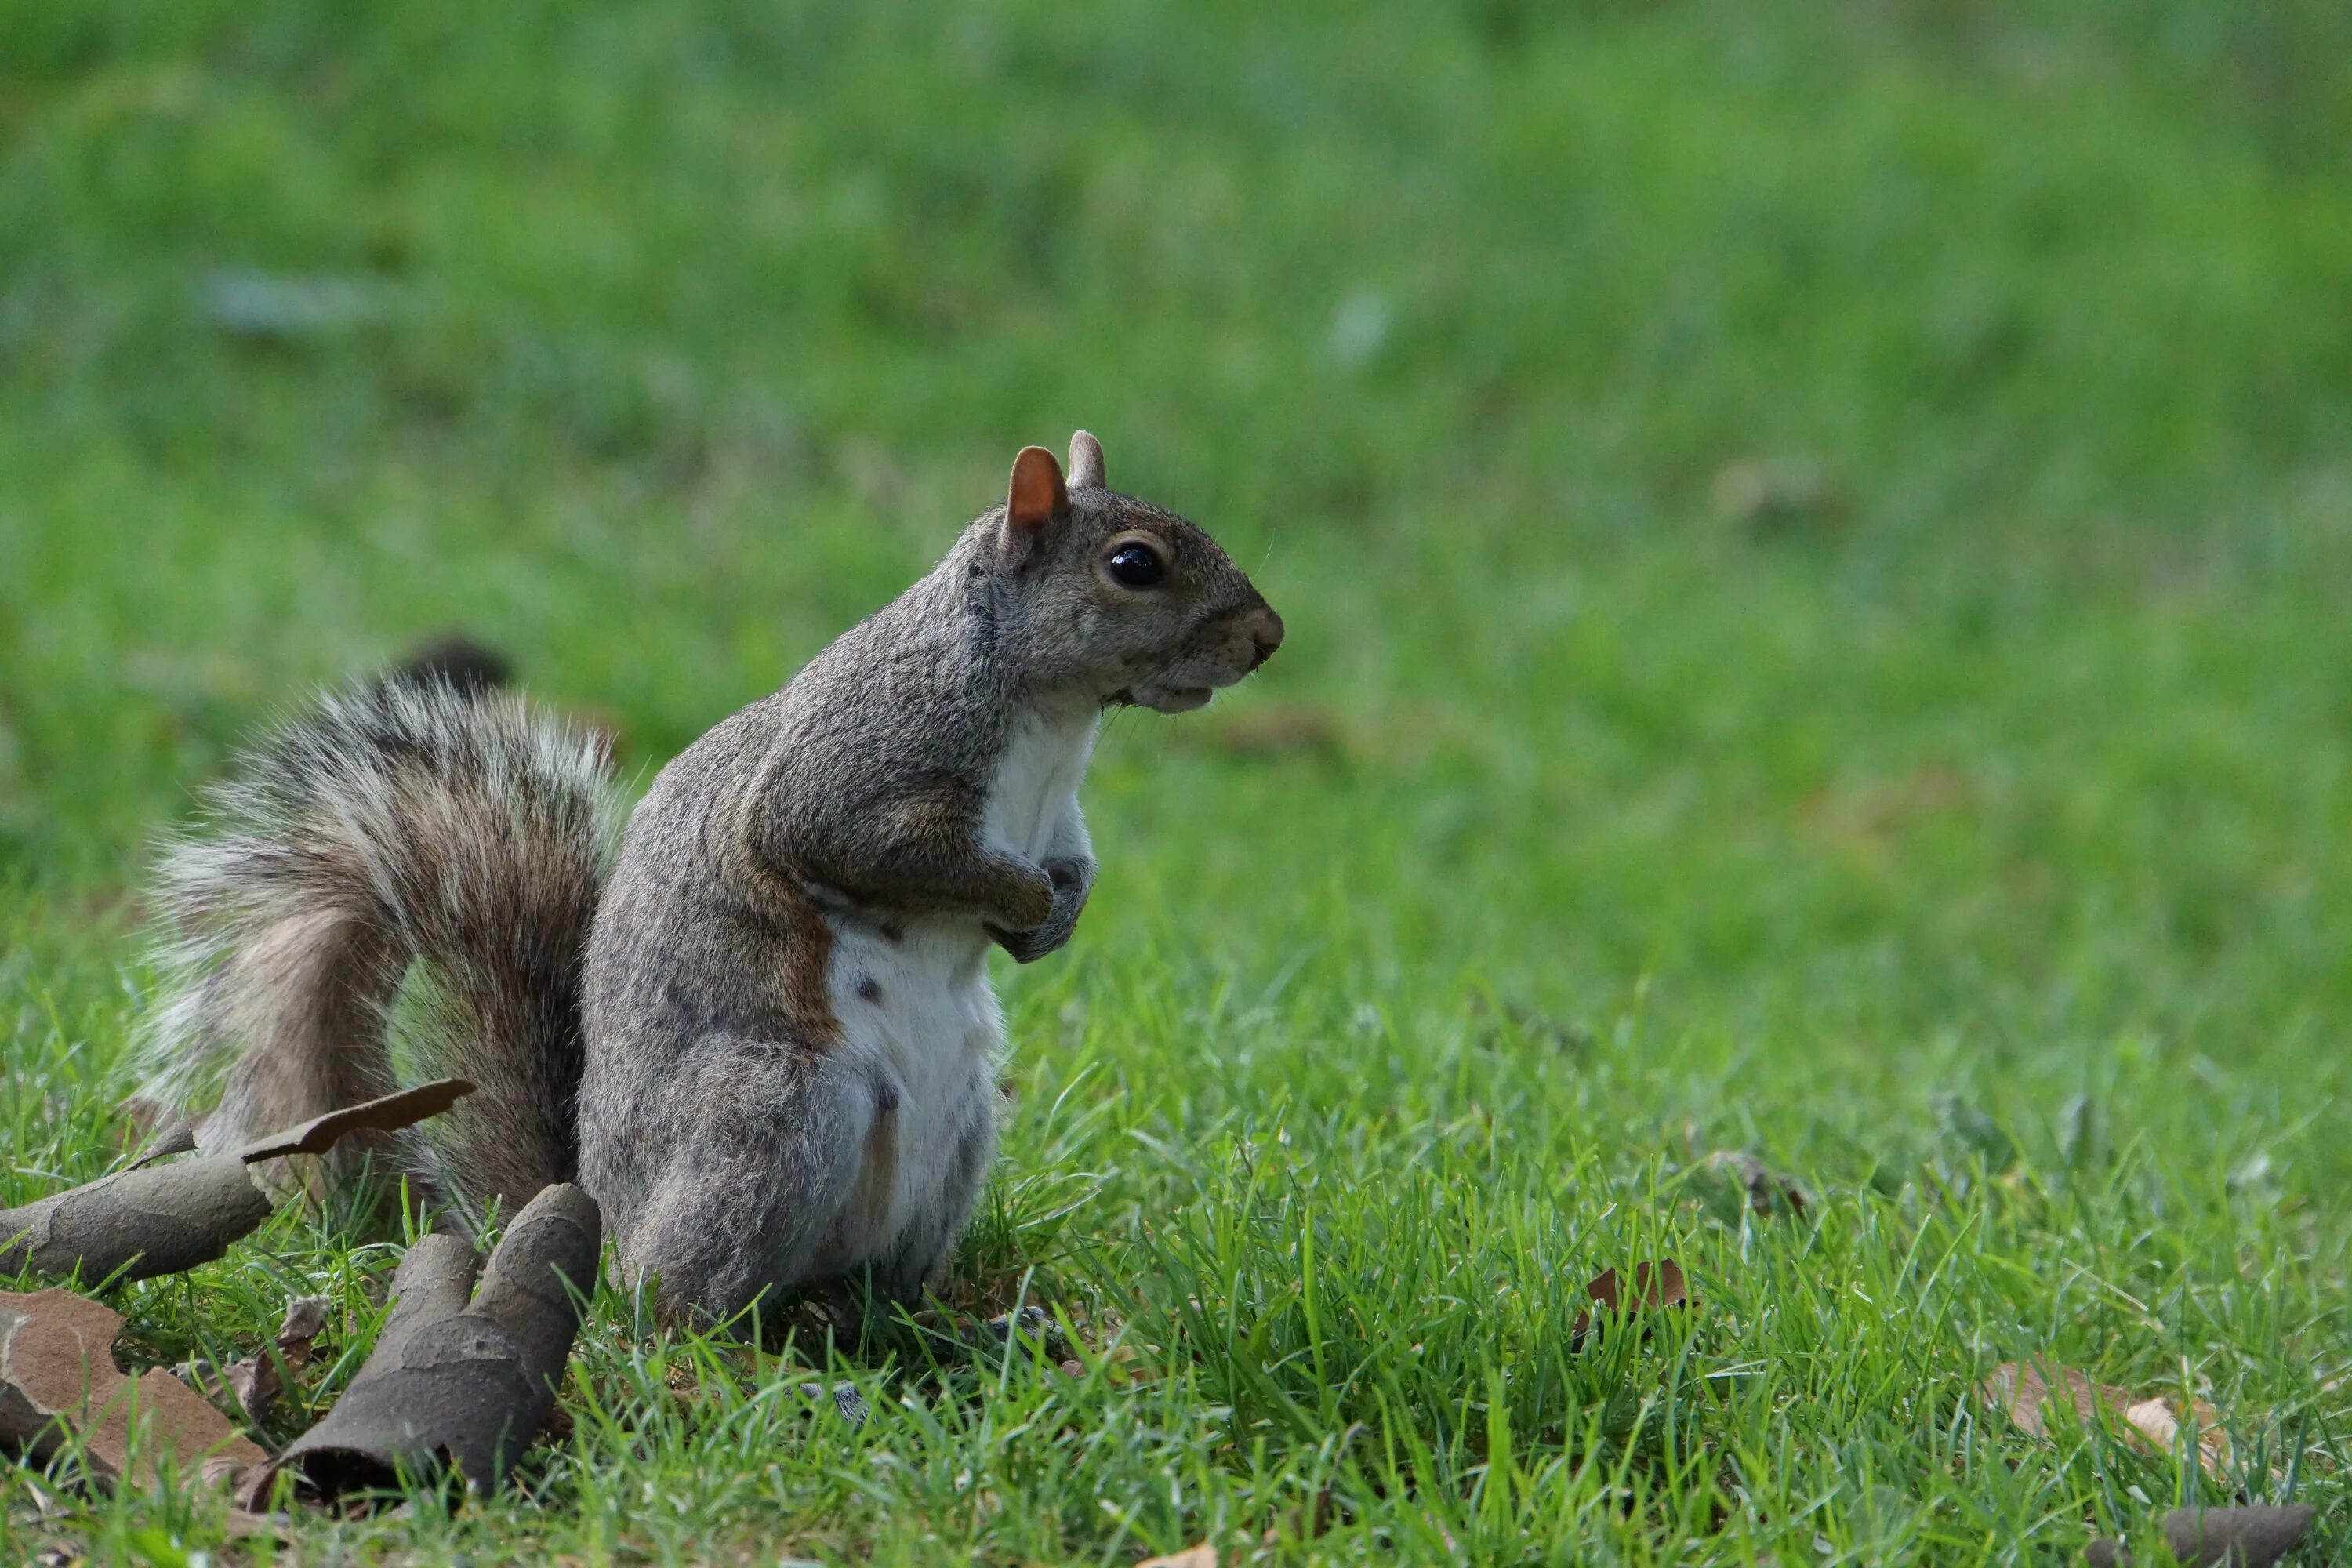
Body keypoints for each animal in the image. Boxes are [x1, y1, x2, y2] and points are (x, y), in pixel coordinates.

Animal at [131, 432, 1289, 1326]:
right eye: (1134, 565)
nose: (1268, 637)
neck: (1055, 720)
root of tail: (598, 1215)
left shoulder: (1059, 815)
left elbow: (1076, 860)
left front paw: (1058, 915)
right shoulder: (855, 770)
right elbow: (870, 845)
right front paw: (1023, 903)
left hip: (958, 1132)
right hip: (773, 1110)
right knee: (670, 1300)